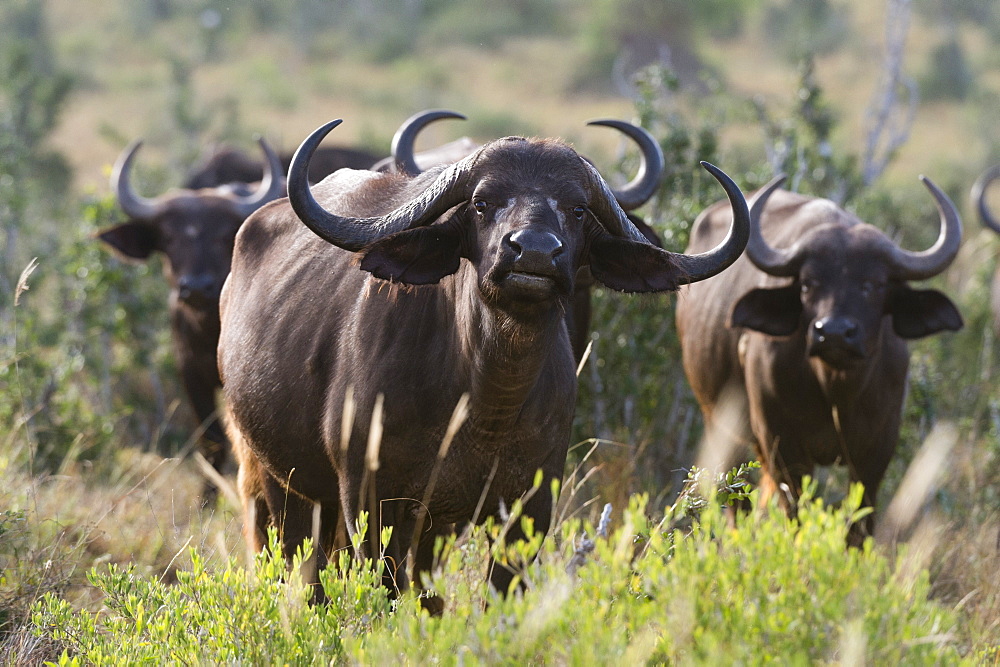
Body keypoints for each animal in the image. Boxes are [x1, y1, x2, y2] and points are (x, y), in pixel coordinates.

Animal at [217, 117, 752, 608]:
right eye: (481, 202)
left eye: (578, 209)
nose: (533, 251)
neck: (484, 405)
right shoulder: (371, 501)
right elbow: (384, 592)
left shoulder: (525, 508)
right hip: (275, 481)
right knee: (297, 568)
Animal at [676, 176, 964, 544]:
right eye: (808, 284)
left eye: (875, 284)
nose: (835, 332)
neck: (835, 389)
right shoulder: (784, 445)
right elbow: (795, 513)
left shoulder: (876, 450)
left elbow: (859, 525)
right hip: (721, 424)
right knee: (735, 500)